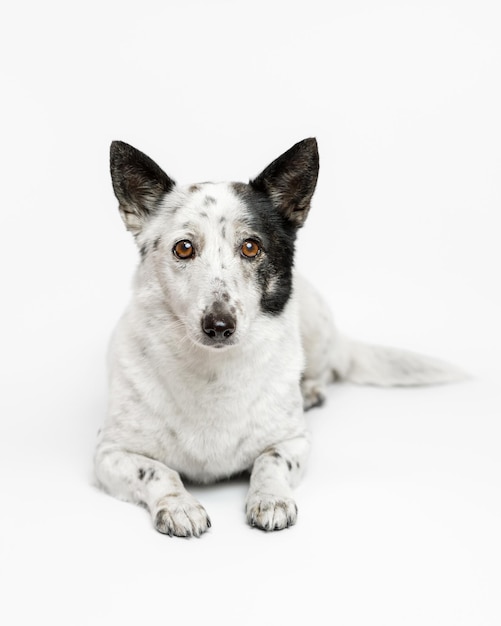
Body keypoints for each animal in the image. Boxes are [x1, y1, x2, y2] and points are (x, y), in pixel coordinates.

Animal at [94, 139, 464, 532]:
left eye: (251, 247)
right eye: (183, 248)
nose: (219, 325)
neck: (213, 372)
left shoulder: (295, 441)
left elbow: (269, 460)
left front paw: (270, 498)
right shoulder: (109, 452)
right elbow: (159, 471)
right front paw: (179, 505)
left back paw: (311, 389)